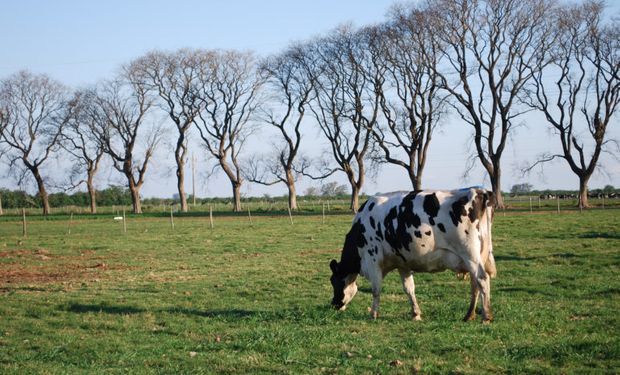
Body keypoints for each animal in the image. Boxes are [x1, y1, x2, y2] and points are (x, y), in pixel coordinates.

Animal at [330, 188, 498, 324]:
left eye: (333, 281)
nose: (333, 304)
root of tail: (479, 191)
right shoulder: (402, 263)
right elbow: (409, 289)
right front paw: (415, 314)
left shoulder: (373, 260)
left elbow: (376, 290)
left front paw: (373, 314)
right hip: (476, 256)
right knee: (475, 284)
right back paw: (469, 315)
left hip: (470, 254)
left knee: (482, 279)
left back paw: (486, 316)